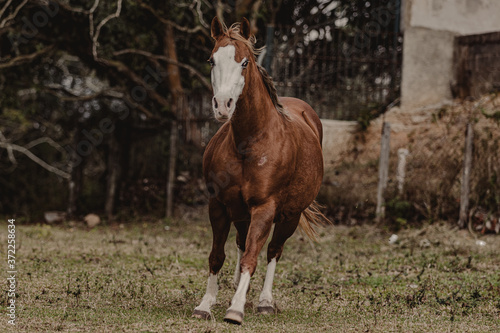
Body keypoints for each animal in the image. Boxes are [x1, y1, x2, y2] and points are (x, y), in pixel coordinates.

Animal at [191, 16, 328, 324]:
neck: (249, 141)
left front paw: (236, 309)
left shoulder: (265, 208)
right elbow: (217, 255)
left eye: (244, 62)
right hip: (240, 212)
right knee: (242, 243)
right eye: (211, 60)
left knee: (273, 251)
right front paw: (205, 304)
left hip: (289, 216)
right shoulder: (218, 204)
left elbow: (254, 256)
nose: (222, 106)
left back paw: (264, 301)